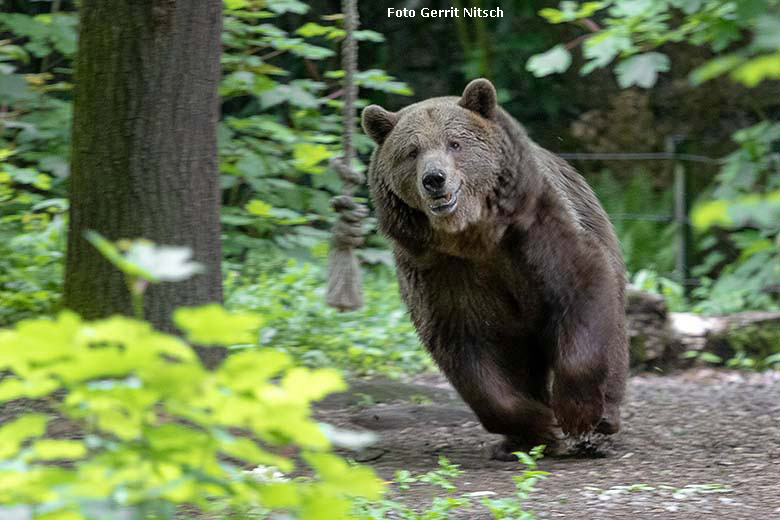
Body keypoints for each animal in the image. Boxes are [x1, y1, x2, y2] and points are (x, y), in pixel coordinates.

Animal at [362, 77, 632, 460]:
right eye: (412, 151)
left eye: (455, 143)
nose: (434, 179)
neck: (473, 235)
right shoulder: (441, 272)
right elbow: (468, 353)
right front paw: (538, 423)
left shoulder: (536, 235)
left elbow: (580, 288)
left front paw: (574, 414)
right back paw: (514, 443)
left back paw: (603, 424)